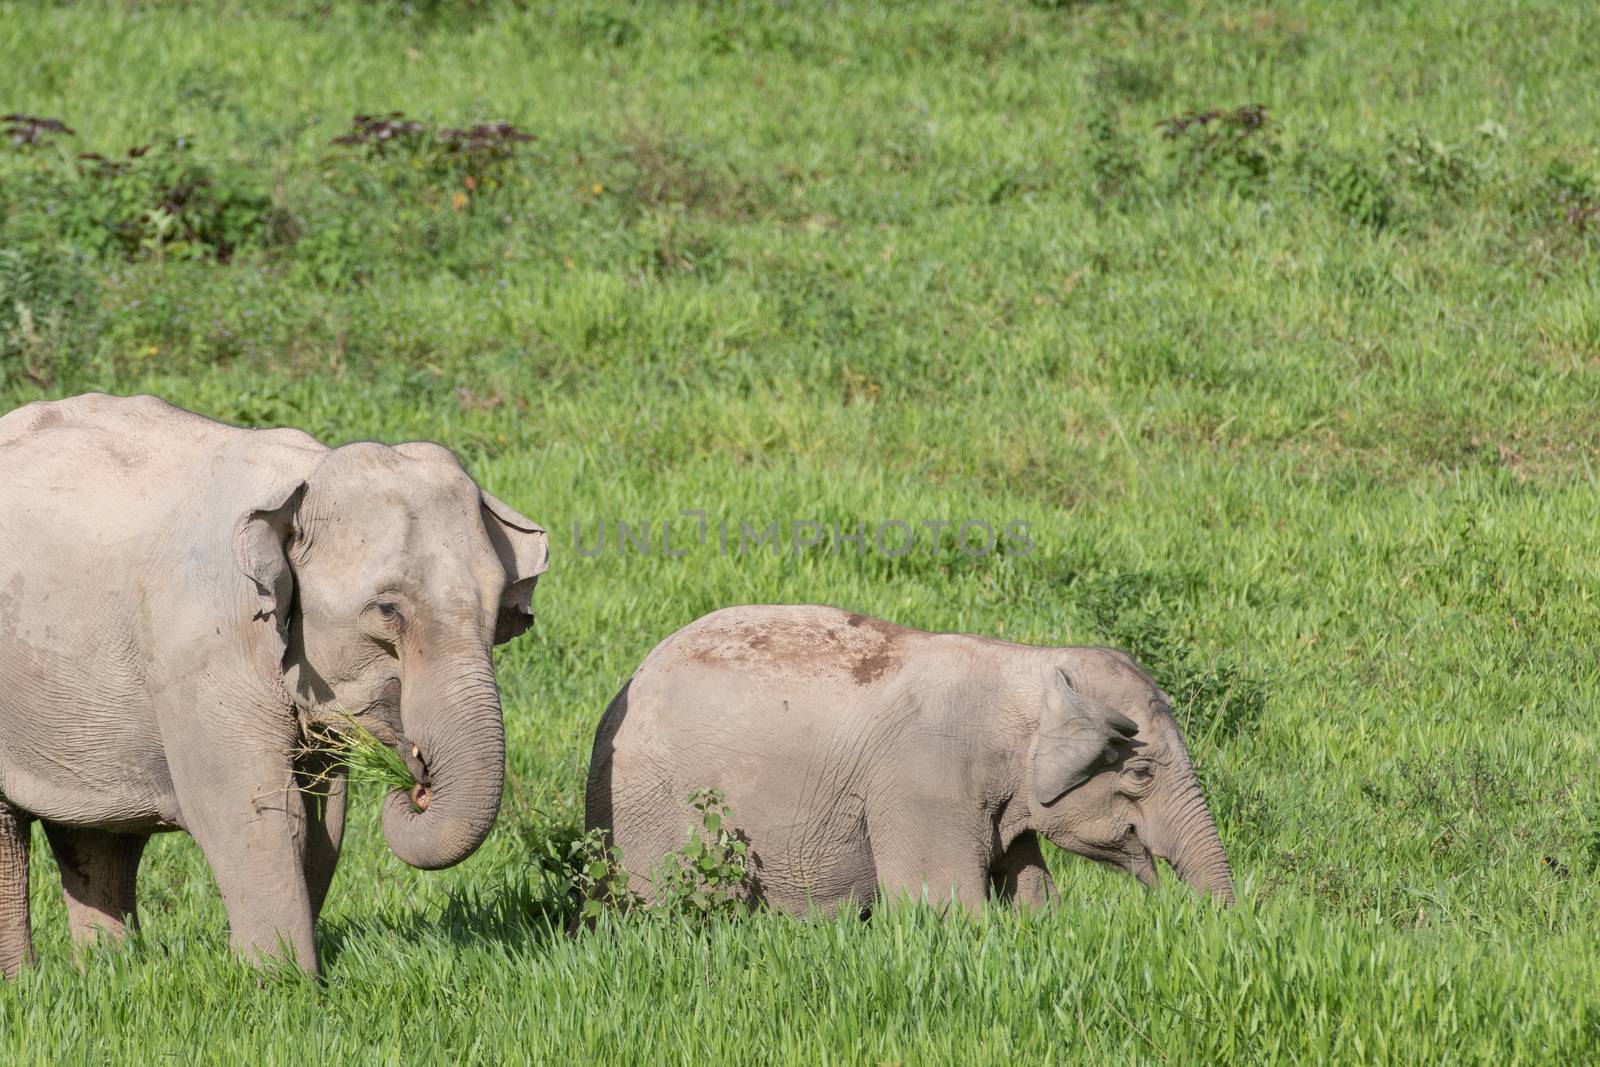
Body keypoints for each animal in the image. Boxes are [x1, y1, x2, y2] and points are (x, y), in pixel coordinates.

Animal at [0, 391, 547, 979]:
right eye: (387, 610)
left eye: (500, 610)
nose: (416, 786)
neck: (302, 479)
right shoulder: (199, 648)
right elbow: (252, 810)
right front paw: (281, 983)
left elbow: (325, 817)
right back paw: (27, 984)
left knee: (97, 836)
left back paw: (109, 975)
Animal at [588, 604, 1235, 915]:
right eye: (1141, 773)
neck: (1028, 664)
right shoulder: (926, 785)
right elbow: (945, 906)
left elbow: (1032, 894)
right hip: (648, 811)